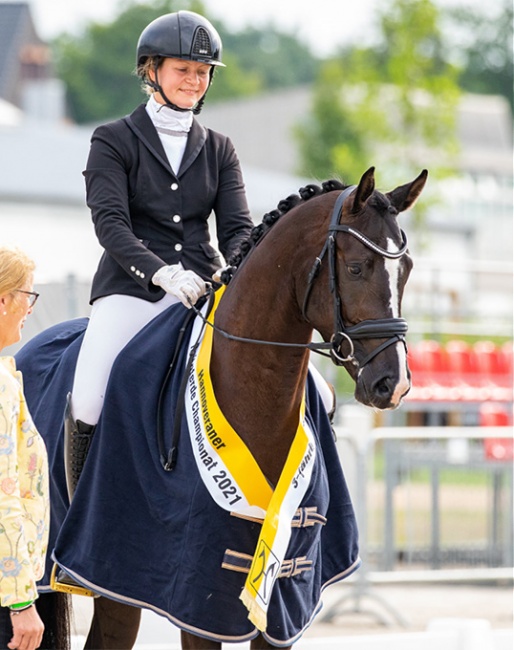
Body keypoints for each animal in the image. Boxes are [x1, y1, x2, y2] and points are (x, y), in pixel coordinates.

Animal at [16, 167, 424, 648]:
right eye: (357, 267)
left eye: (407, 271)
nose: (393, 384)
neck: (256, 398)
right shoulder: (191, 597)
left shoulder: (282, 603)